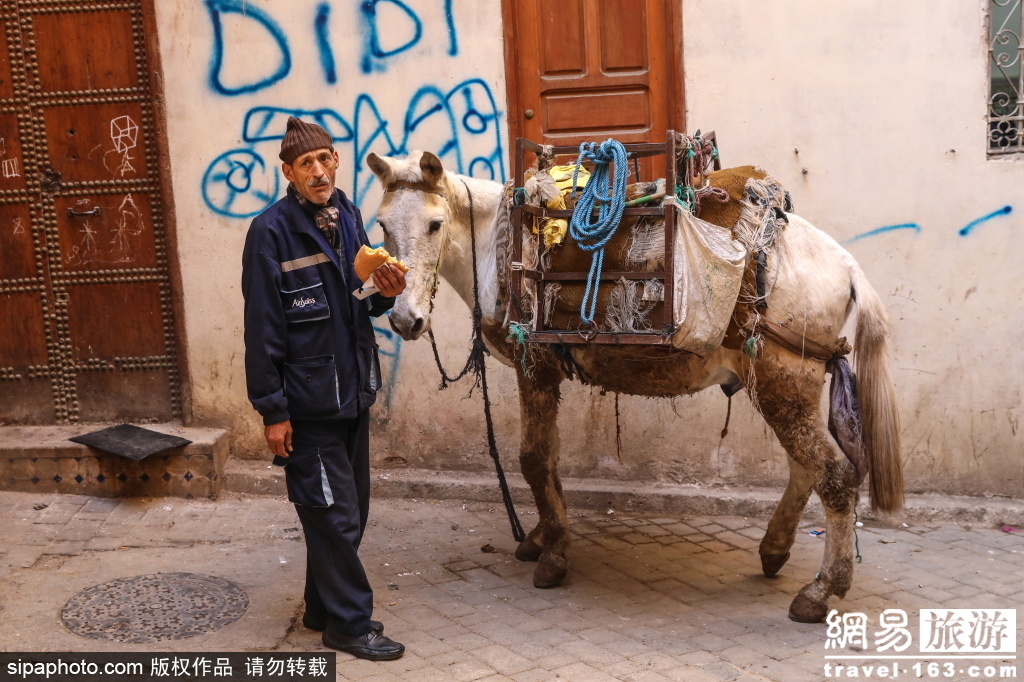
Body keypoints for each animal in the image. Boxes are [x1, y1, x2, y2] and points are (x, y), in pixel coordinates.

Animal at [364, 150, 901, 622]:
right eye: (383, 227)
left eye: (435, 225)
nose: (404, 320)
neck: (503, 248)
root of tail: (844, 265)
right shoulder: (544, 374)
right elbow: (549, 458)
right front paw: (541, 537)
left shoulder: (534, 366)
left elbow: (533, 458)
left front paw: (553, 556)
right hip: (789, 387)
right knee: (806, 469)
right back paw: (775, 550)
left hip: (781, 384)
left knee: (834, 475)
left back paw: (822, 590)